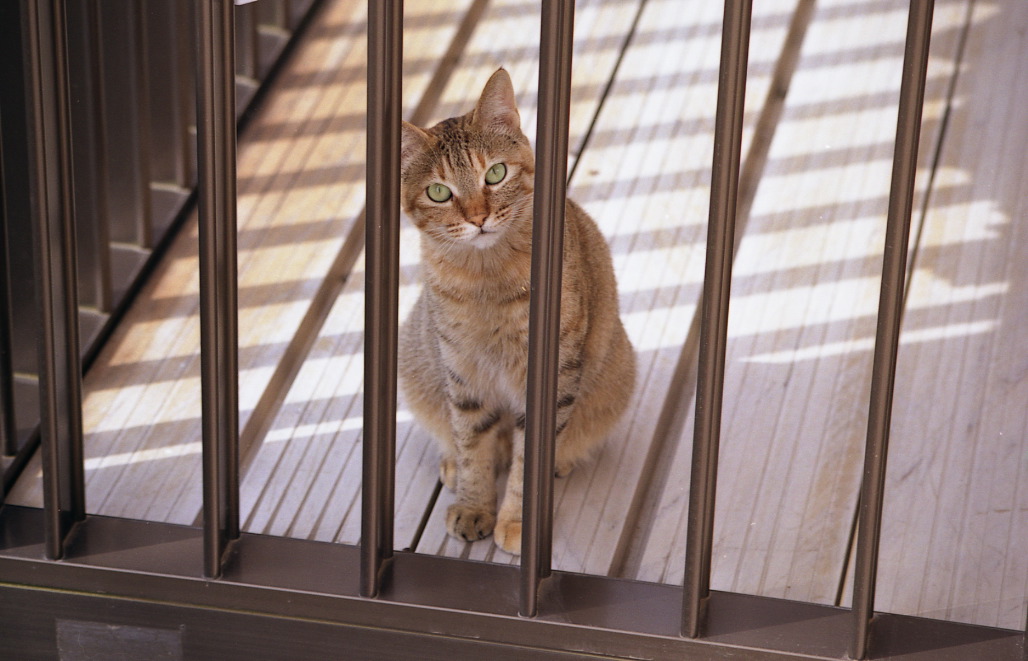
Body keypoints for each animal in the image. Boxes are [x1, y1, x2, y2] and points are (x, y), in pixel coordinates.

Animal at [398, 68, 635, 554]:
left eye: (496, 173)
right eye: (438, 192)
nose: (477, 218)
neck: (486, 279)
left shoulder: (550, 376)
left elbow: (530, 461)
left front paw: (516, 519)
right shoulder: (463, 373)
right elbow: (473, 444)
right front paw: (474, 504)